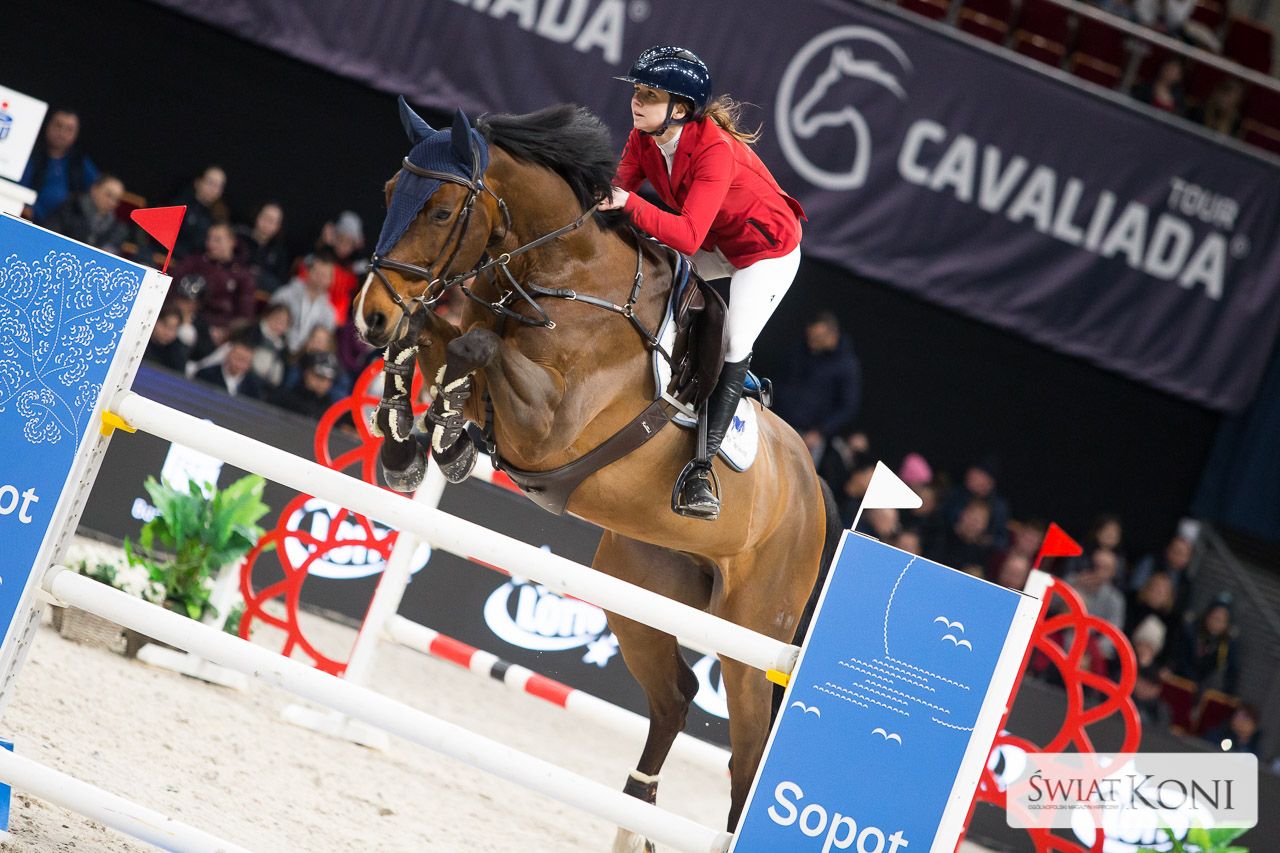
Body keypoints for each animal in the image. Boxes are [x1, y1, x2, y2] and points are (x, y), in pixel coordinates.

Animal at [354, 99, 842, 847]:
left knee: (747, 755)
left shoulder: (550, 429)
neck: (562, 274)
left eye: (439, 210)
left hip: (754, 632)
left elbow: (473, 346)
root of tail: (813, 488)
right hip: (635, 588)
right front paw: (414, 441)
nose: (369, 315)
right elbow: (435, 335)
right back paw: (632, 820)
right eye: (387, 193)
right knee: (675, 699)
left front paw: (444, 432)